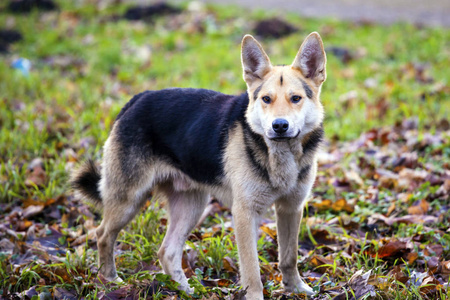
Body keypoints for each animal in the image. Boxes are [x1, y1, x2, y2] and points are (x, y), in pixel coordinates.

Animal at [71, 31, 326, 298]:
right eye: (267, 99)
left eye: (296, 99)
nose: (279, 126)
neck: (280, 152)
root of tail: (137, 99)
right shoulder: (245, 214)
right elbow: (251, 269)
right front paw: (256, 295)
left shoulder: (291, 208)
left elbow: (289, 256)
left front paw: (295, 287)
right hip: (129, 201)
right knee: (102, 235)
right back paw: (109, 280)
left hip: (191, 206)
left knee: (167, 251)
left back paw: (184, 289)